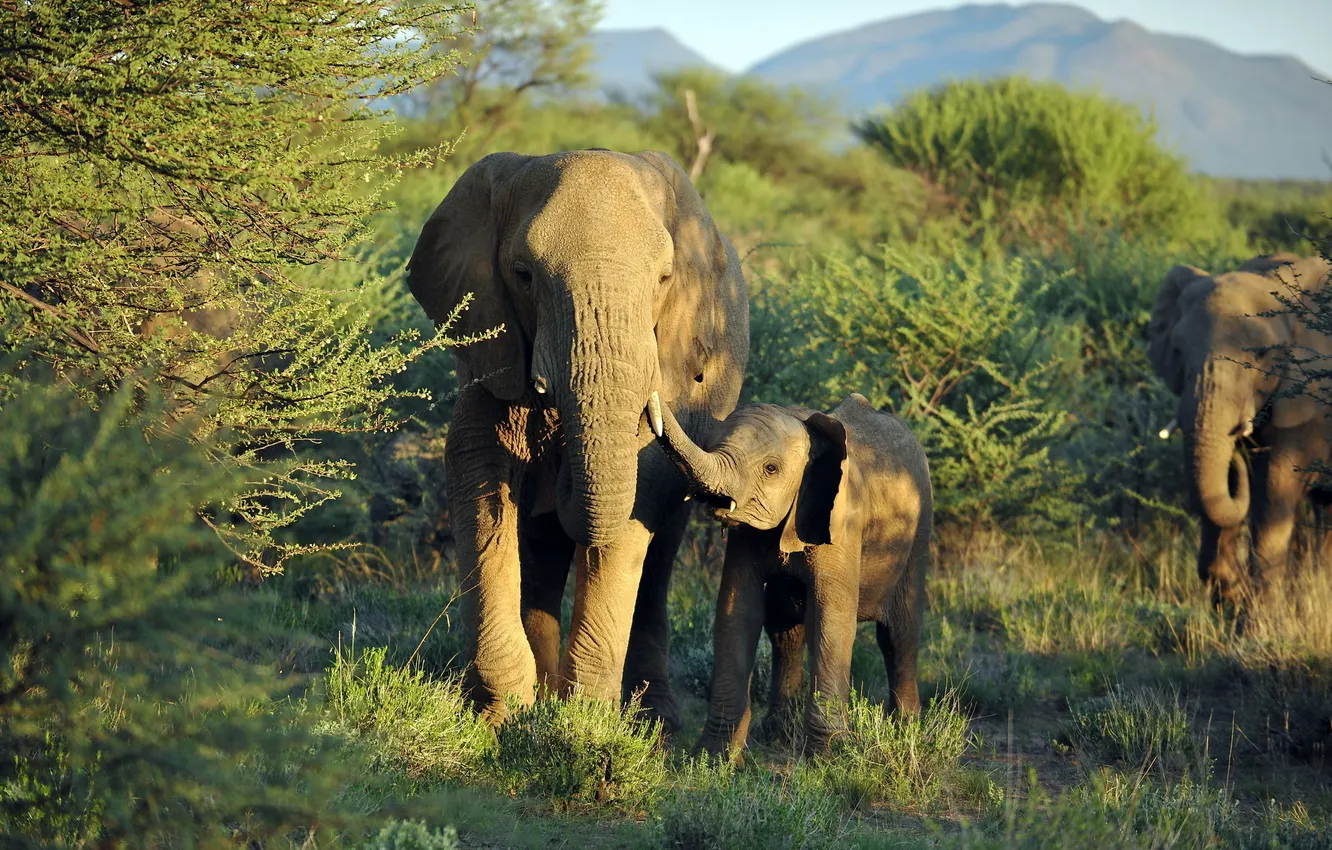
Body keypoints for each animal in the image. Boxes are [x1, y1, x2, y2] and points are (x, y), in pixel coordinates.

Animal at [405, 149, 749, 729]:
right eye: (523, 275)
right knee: (542, 553)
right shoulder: (489, 352)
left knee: (659, 557)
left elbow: (634, 503)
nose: (557, 460)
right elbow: (479, 483)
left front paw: (582, 719)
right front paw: (502, 716)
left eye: (664, 278)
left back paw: (655, 720)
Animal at [652, 392, 932, 757]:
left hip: (920, 526)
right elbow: (737, 611)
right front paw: (713, 756)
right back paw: (777, 734)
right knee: (785, 631)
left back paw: (906, 729)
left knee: (899, 633)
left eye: (771, 469)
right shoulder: (747, 536)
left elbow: (831, 618)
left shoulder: (841, 523)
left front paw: (828, 757)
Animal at [1148, 252, 1332, 607]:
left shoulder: (1309, 400)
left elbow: (1275, 490)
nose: (1235, 448)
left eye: (1261, 354)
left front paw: (1254, 618)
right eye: (1178, 351)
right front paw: (1229, 596)